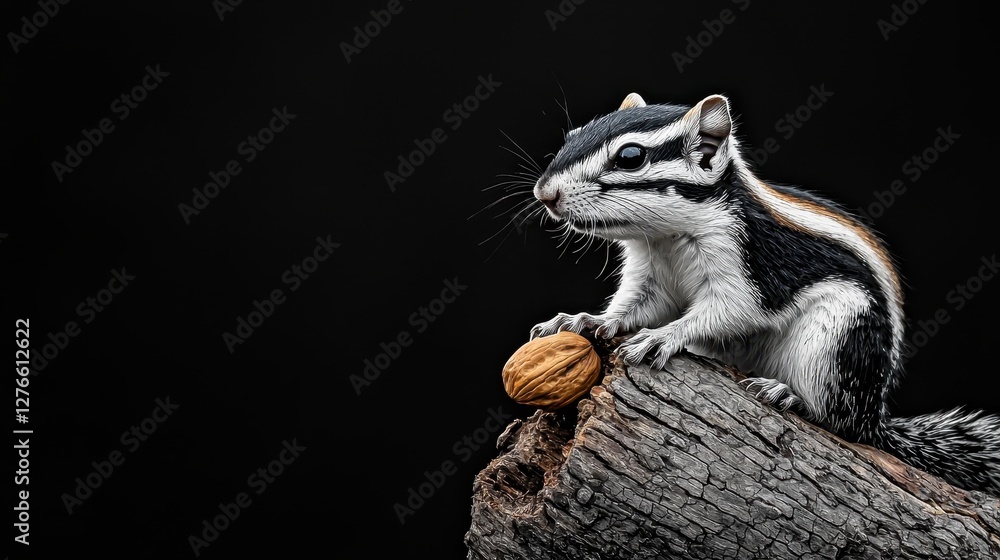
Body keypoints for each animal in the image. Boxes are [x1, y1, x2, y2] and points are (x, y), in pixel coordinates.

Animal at [528, 91, 1000, 496]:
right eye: (572, 136)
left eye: (631, 156)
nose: (545, 193)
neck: (666, 238)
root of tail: (875, 415)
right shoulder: (649, 275)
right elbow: (635, 307)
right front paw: (588, 320)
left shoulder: (745, 266)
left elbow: (728, 311)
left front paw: (665, 336)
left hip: (836, 341)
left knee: (841, 421)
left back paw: (791, 396)